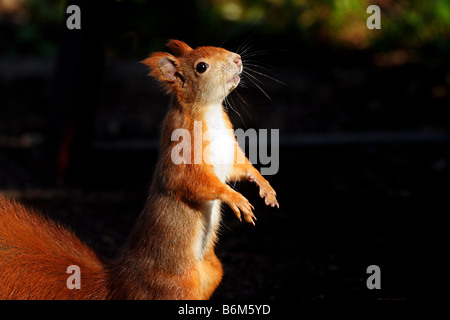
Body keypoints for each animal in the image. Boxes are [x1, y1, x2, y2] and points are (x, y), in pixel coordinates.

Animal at [0, 40, 278, 300]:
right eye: (202, 67)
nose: (238, 59)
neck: (209, 111)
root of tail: (123, 284)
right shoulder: (182, 153)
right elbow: (192, 182)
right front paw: (236, 199)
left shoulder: (229, 151)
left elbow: (240, 168)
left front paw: (265, 187)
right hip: (179, 286)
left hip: (213, 272)